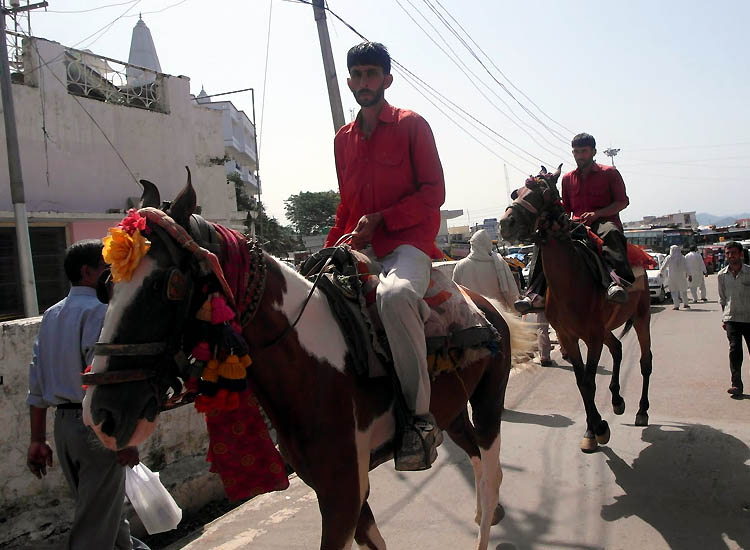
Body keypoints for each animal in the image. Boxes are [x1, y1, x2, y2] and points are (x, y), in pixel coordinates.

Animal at [500, 166, 652, 454]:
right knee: (617, 348)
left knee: (645, 361)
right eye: (516, 192)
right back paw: (617, 400)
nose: (506, 223)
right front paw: (594, 429)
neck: (571, 281)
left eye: (545, 192)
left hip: (641, 316)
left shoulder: (591, 338)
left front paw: (599, 429)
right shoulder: (569, 336)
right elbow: (582, 382)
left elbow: (590, 381)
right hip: (605, 329)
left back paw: (642, 411)